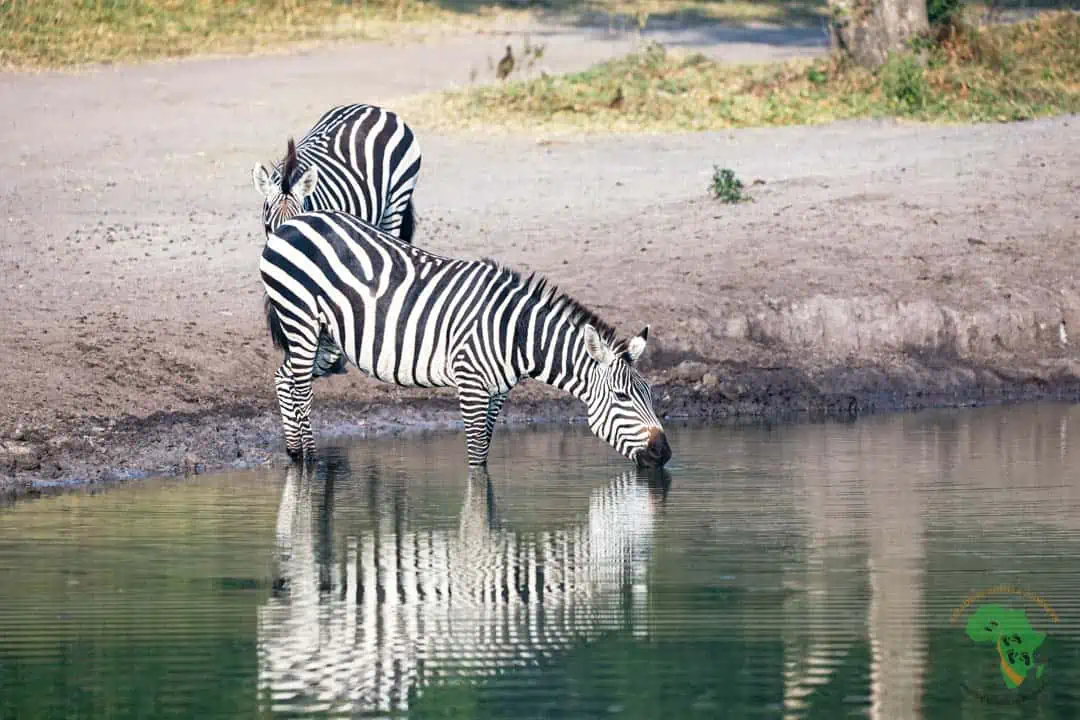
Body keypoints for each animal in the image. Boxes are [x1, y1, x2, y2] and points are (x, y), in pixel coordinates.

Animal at [258, 209, 669, 468]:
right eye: (621, 397)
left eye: (650, 395)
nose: (664, 454)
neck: (514, 332)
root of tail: (293, 222)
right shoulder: (470, 384)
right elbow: (474, 460)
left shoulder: (498, 391)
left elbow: (484, 452)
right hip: (301, 319)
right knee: (300, 389)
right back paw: (311, 459)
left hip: (326, 337)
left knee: (283, 378)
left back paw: (294, 453)